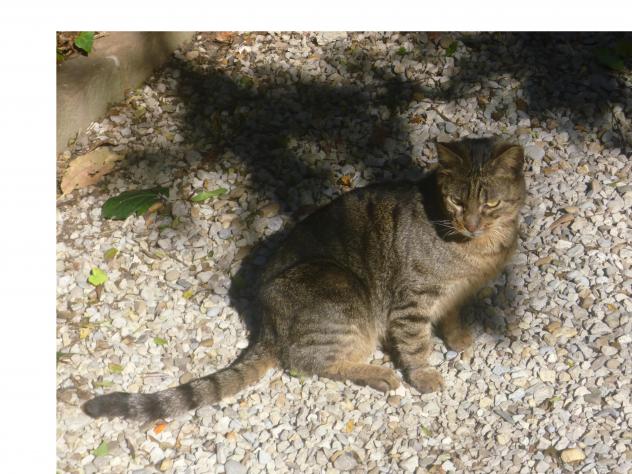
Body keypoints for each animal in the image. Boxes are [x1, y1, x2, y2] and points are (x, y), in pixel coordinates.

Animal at [82, 137, 526, 420]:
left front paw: (459, 337)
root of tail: (265, 323)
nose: (470, 222)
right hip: (343, 294)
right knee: (312, 361)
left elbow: (451, 317)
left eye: (489, 203)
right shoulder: (411, 302)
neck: (481, 247)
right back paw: (377, 374)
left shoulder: (456, 294)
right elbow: (415, 346)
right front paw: (425, 376)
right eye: (456, 201)